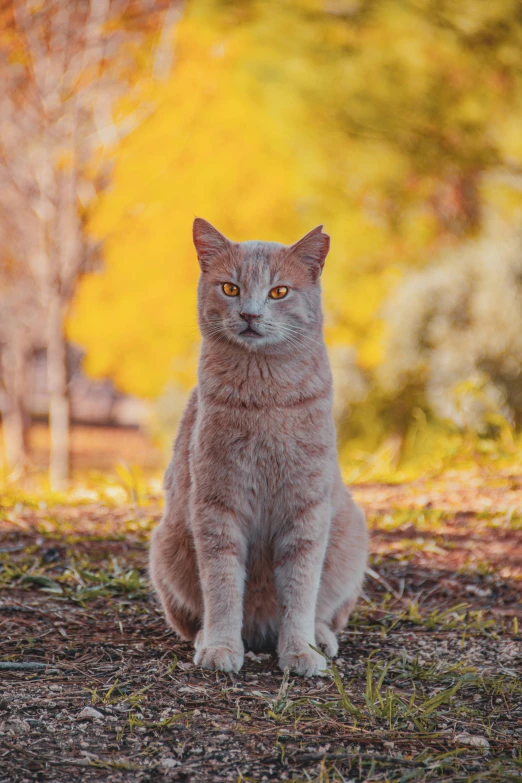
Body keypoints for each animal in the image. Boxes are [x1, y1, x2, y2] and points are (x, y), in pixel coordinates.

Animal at [148, 217, 368, 676]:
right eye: (230, 288)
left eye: (279, 292)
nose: (250, 313)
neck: (264, 397)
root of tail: (262, 631)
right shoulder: (217, 507)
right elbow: (222, 586)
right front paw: (220, 646)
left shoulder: (306, 511)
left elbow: (300, 592)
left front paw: (300, 650)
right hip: (167, 545)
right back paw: (206, 637)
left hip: (351, 535)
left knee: (322, 611)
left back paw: (319, 638)